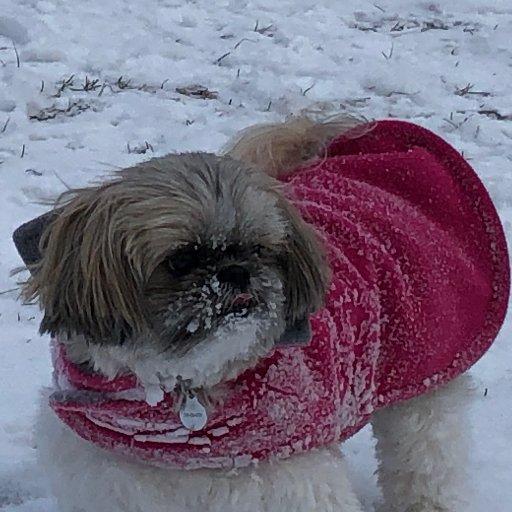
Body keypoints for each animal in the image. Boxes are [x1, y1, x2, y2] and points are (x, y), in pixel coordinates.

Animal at [14, 116, 510, 512]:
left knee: (426, 458)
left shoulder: (291, 485)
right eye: (181, 259)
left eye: (258, 250)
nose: (237, 272)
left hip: (423, 378)